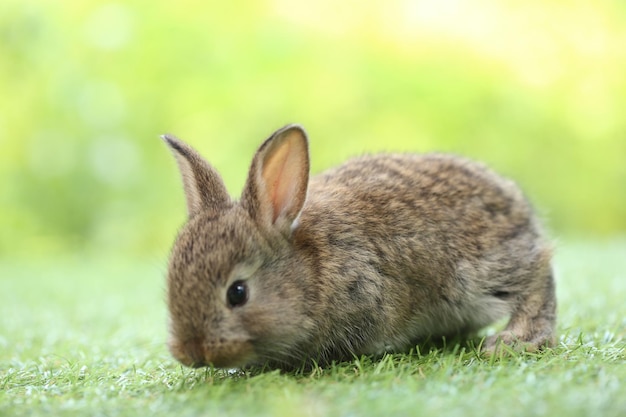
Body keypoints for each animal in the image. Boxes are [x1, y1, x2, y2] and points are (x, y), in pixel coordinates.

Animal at [161, 122, 556, 368]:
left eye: (238, 293)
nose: (192, 353)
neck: (313, 269)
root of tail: (514, 203)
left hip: (475, 273)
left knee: (538, 269)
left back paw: (517, 339)